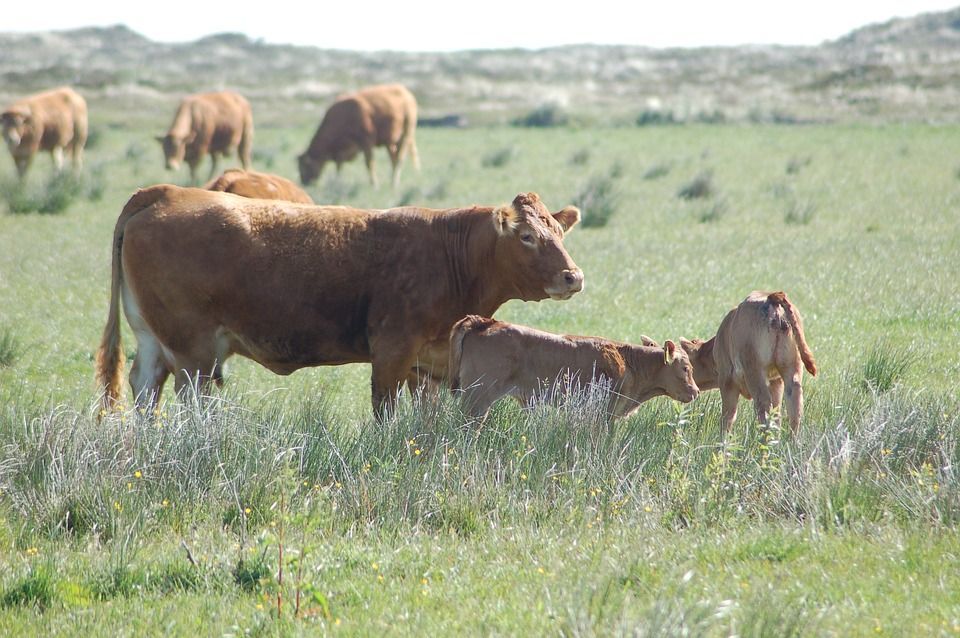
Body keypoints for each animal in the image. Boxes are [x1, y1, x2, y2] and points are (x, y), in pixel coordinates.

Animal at [94, 186, 580, 416]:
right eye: (527, 236)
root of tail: (166, 192)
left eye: (559, 231)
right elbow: (386, 412)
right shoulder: (392, 352)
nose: (573, 277)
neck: (446, 251)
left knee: (145, 387)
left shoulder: (430, 364)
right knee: (190, 396)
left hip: (153, 339)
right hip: (192, 350)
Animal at [676, 292, 816, 436]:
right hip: (792, 367)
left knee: (763, 404)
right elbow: (777, 415)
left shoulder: (727, 381)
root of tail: (772, 296)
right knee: (794, 406)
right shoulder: (776, 381)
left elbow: (728, 417)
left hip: (754, 371)